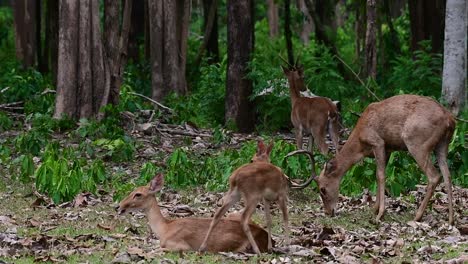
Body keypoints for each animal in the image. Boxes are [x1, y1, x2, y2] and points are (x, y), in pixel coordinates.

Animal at [117, 173, 268, 252]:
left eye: (138, 194)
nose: (118, 206)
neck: (164, 228)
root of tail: (267, 238)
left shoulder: (181, 245)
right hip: (234, 214)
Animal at [288, 95, 456, 225]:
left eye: (322, 189)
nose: (329, 212)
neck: (360, 143)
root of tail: (450, 120)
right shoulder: (388, 149)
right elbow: (377, 175)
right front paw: (374, 208)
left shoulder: (378, 142)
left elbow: (381, 176)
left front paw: (379, 215)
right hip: (443, 145)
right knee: (447, 175)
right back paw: (450, 219)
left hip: (417, 142)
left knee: (434, 176)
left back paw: (417, 216)